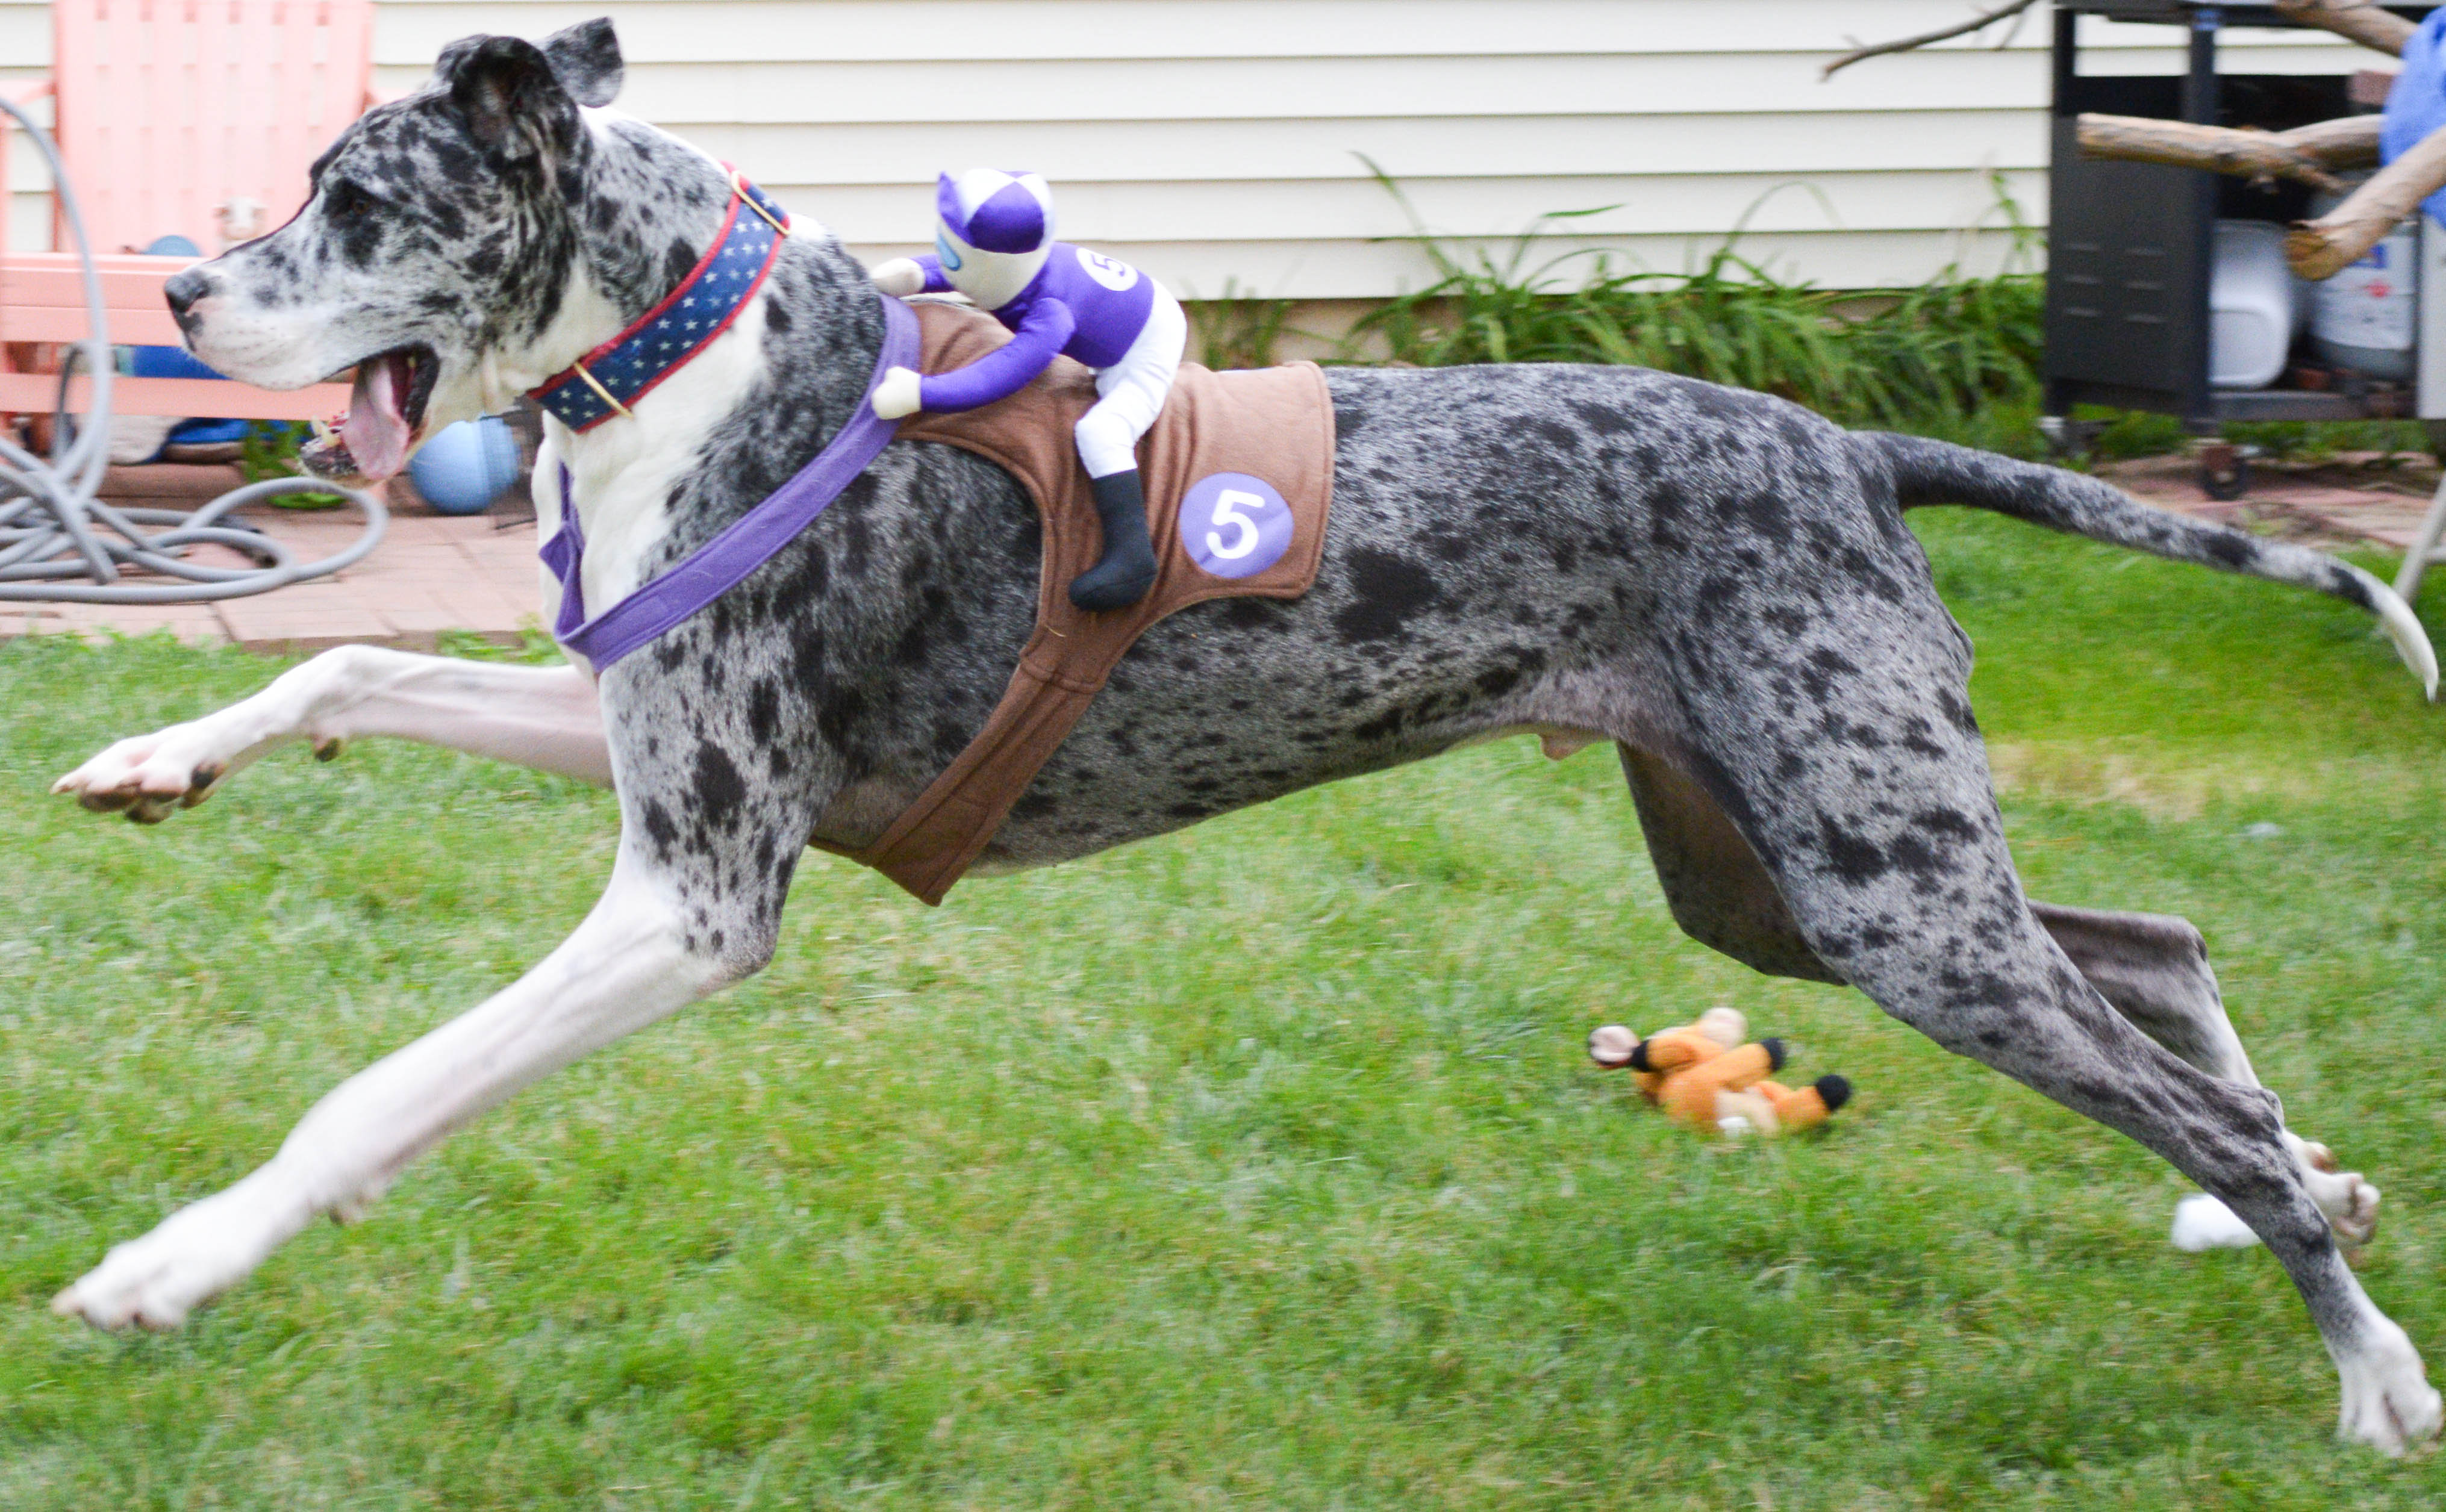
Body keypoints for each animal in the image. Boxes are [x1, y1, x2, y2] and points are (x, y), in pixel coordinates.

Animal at [43, 14, 2445, 1448]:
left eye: (360, 201)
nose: (180, 296)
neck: (709, 360)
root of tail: (1854, 444)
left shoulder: (698, 892)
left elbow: (379, 1091)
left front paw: (171, 1267)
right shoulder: (634, 746)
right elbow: (348, 669)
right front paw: (153, 766)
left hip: (1885, 901)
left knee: (2164, 1061)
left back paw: (2361, 1360)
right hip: (1787, 884)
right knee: (2158, 949)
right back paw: (2317, 1177)